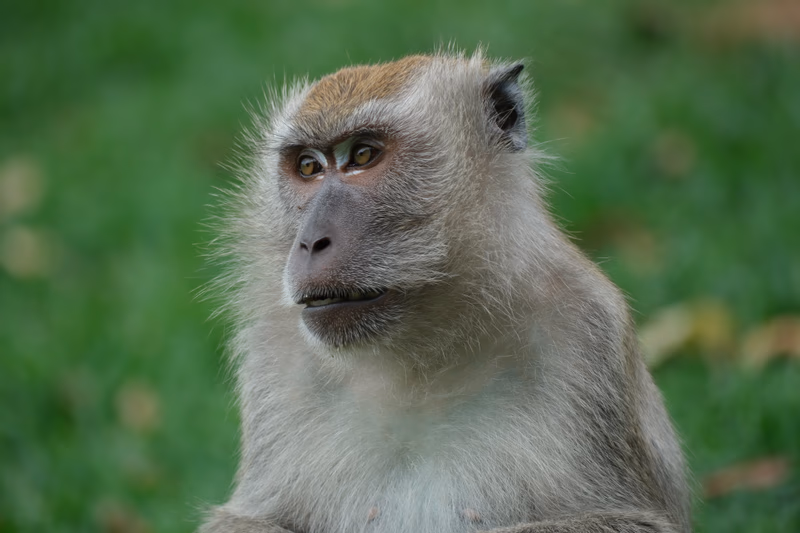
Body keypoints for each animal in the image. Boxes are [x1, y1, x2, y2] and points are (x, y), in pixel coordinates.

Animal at [200, 51, 691, 533]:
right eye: (308, 166)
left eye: (363, 155)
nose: (310, 242)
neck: (421, 359)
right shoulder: (277, 353)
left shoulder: (585, 330)